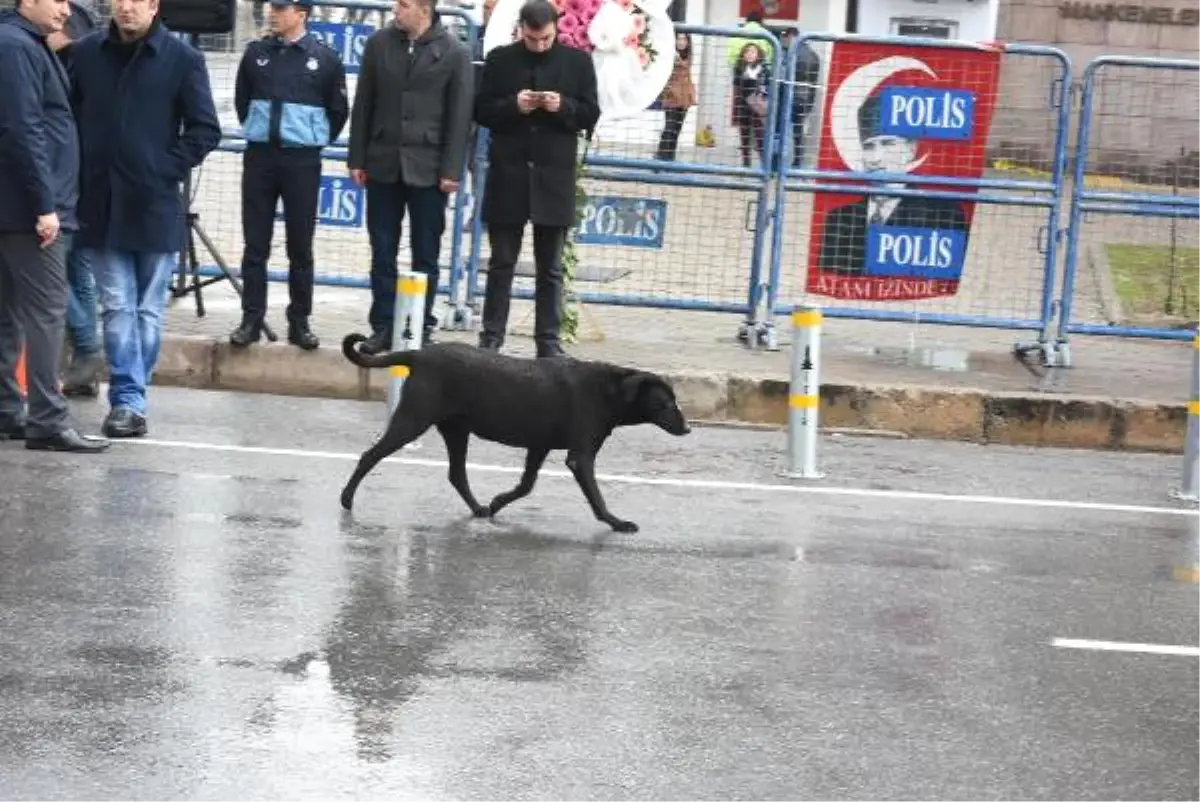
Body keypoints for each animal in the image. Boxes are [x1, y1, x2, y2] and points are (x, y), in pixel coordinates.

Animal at [338, 331, 696, 533]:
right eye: (665, 403)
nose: (688, 427)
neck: (609, 391)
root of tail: (418, 353)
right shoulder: (580, 456)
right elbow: (596, 496)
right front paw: (617, 523)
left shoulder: (539, 446)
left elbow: (526, 485)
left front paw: (498, 502)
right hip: (413, 420)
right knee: (370, 455)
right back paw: (346, 499)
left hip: (456, 429)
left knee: (457, 474)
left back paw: (479, 509)